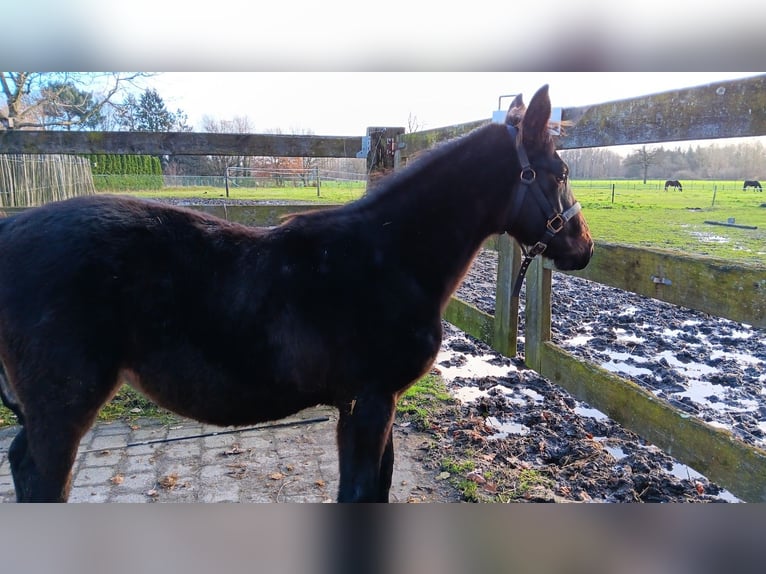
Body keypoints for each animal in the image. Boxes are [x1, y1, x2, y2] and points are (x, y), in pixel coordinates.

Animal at [0, 85, 592, 504]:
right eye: (560, 171)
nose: (583, 247)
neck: (391, 259)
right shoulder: (372, 401)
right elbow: (361, 493)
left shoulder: (365, 405)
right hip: (63, 406)